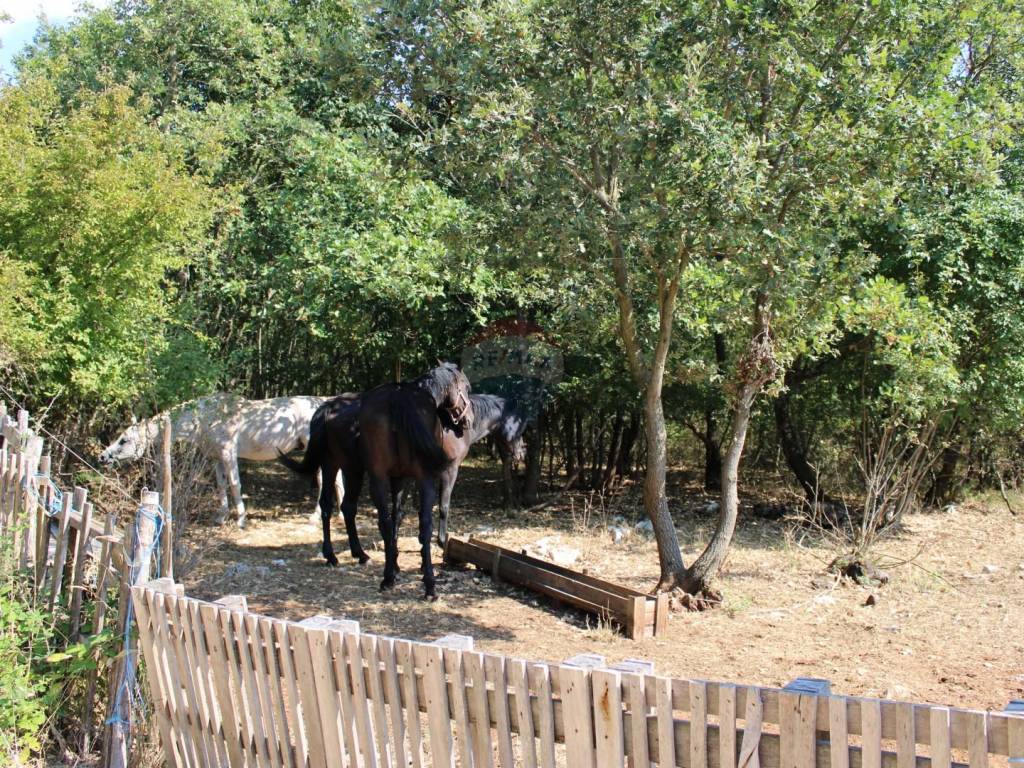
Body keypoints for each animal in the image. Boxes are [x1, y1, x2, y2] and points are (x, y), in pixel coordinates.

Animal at [99, 393, 344, 527]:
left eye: (124, 440)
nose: (102, 457)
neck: (204, 418)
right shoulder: (216, 458)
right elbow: (220, 486)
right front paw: (221, 516)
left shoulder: (228, 454)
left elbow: (235, 485)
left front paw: (241, 520)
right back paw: (339, 515)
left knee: (327, 481)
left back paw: (315, 518)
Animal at [279, 362, 473, 600]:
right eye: (467, 387)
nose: (468, 421)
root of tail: (328, 407)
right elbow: (397, 520)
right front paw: (396, 564)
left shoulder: (401, 479)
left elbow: (397, 518)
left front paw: (397, 564)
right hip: (332, 466)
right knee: (327, 506)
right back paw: (333, 556)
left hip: (354, 470)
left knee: (351, 508)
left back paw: (364, 556)